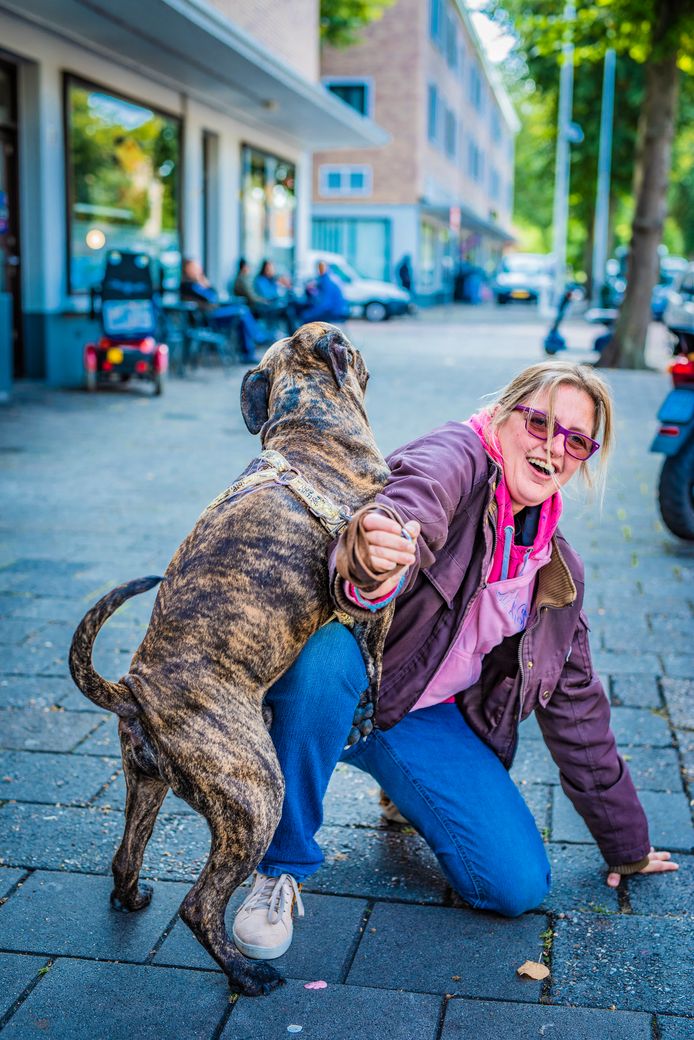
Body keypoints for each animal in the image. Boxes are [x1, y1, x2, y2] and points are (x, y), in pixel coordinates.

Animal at [70, 324, 395, 998]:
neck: (308, 422)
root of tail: (132, 690)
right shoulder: (374, 588)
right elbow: (376, 658)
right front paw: (370, 707)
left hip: (146, 783)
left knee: (124, 855)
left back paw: (133, 898)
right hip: (256, 795)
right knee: (199, 905)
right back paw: (247, 974)